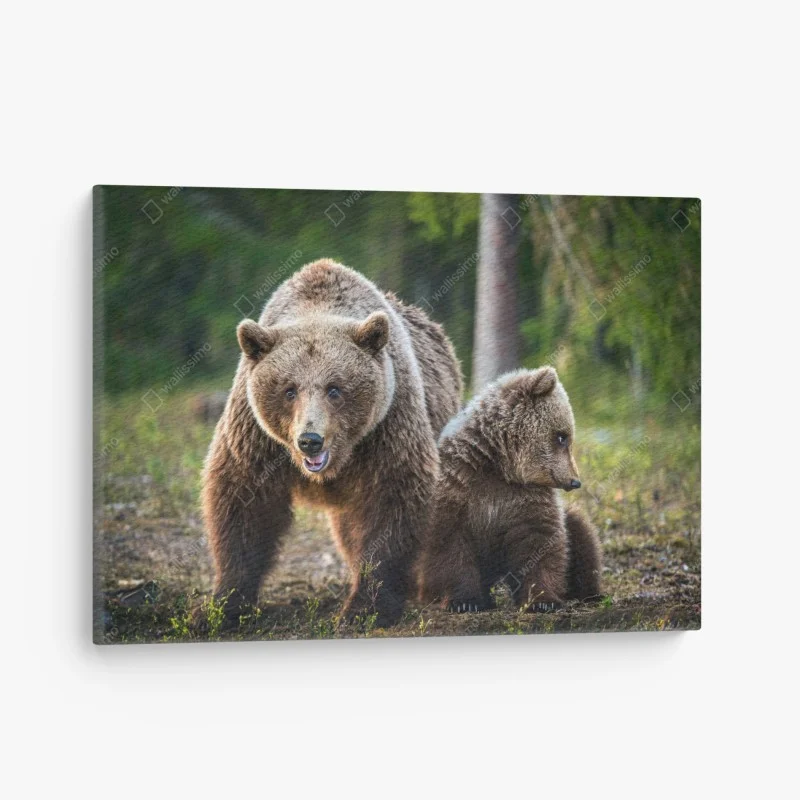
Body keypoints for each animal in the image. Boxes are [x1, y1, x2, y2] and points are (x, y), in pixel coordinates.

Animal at [201, 259, 462, 628]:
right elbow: (243, 502)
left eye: (335, 388)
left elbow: (393, 501)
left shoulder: (388, 425)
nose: (310, 440)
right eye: (289, 389)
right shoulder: (255, 436)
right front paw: (222, 606)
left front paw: (365, 608)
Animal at [418, 366, 602, 612]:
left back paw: (589, 592)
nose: (575, 481)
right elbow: (449, 542)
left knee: (581, 532)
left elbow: (540, 541)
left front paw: (542, 601)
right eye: (562, 436)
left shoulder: (525, 497)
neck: (499, 466)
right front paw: (464, 601)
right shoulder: (458, 485)